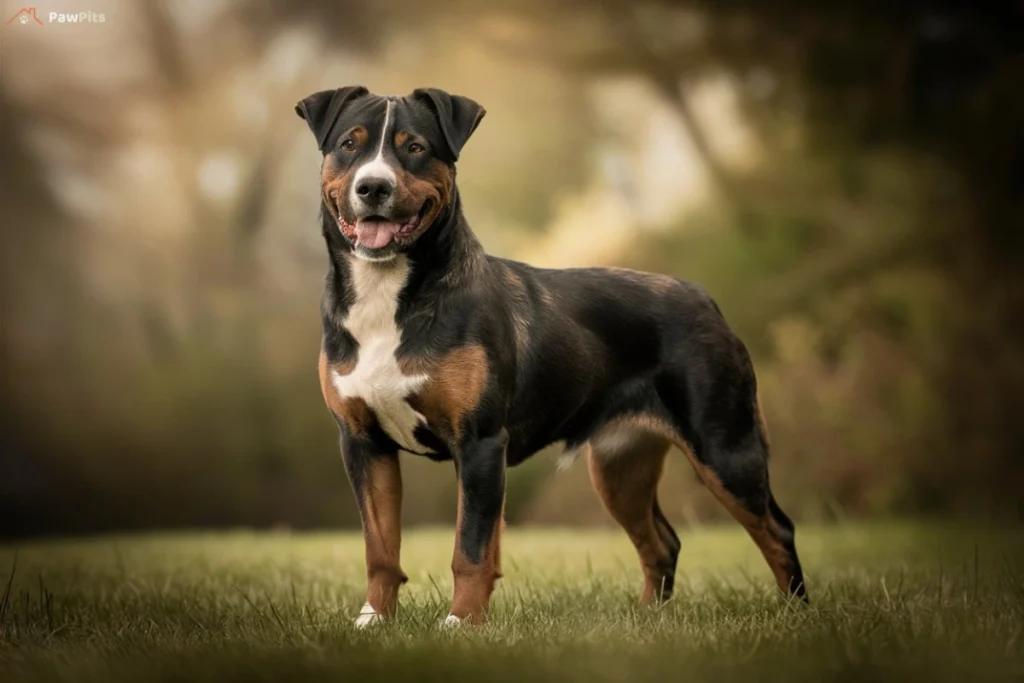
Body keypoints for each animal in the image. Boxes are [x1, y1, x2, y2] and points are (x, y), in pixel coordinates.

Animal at [294, 88, 806, 626]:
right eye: (350, 144)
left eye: (414, 147)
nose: (373, 186)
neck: (389, 297)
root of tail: (703, 298)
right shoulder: (363, 443)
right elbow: (380, 548)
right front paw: (373, 619)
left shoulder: (478, 444)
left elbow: (470, 549)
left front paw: (461, 623)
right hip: (621, 466)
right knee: (662, 543)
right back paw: (648, 619)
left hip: (724, 446)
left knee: (776, 531)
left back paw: (795, 616)